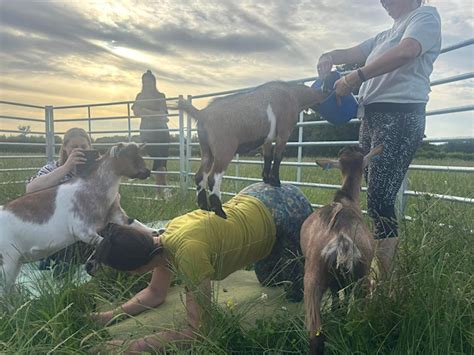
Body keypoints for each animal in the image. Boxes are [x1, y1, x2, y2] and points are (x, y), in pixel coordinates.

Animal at [178, 81, 326, 220]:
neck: (293, 95)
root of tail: (202, 114)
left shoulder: (267, 138)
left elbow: (268, 157)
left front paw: (267, 179)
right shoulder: (284, 132)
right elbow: (278, 156)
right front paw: (276, 182)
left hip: (207, 150)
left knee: (200, 175)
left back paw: (205, 206)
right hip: (224, 149)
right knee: (213, 177)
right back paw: (220, 211)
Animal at [302, 145, 384, 355]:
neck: (346, 199)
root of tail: (341, 239)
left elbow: (337, 297)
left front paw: (337, 312)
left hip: (316, 280)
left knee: (316, 335)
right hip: (358, 276)